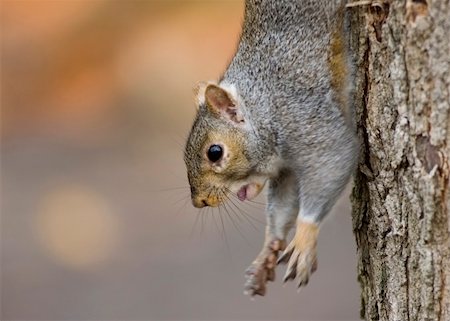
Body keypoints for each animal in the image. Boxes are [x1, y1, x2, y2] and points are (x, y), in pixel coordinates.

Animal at [184, 0, 358, 296]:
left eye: (214, 152)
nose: (200, 202)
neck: (264, 108)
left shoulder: (306, 120)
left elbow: (334, 161)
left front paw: (304, 238)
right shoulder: (285, 171)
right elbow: (283, 204)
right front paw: (267, 251)